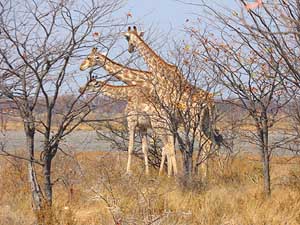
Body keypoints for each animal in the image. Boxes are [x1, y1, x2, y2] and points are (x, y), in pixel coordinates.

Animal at [122, 25, 223, 178]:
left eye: (127, 38)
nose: (130, 49)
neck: (160, 73)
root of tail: (210, 103)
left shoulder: (166, 116)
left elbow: (168, 146)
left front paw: (171, 174)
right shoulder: (172, 120)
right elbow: (171, 145)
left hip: (194, 122)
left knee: (205, 143)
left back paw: (202, 175)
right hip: (207, 122)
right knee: (213, 142)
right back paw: (211, 172)